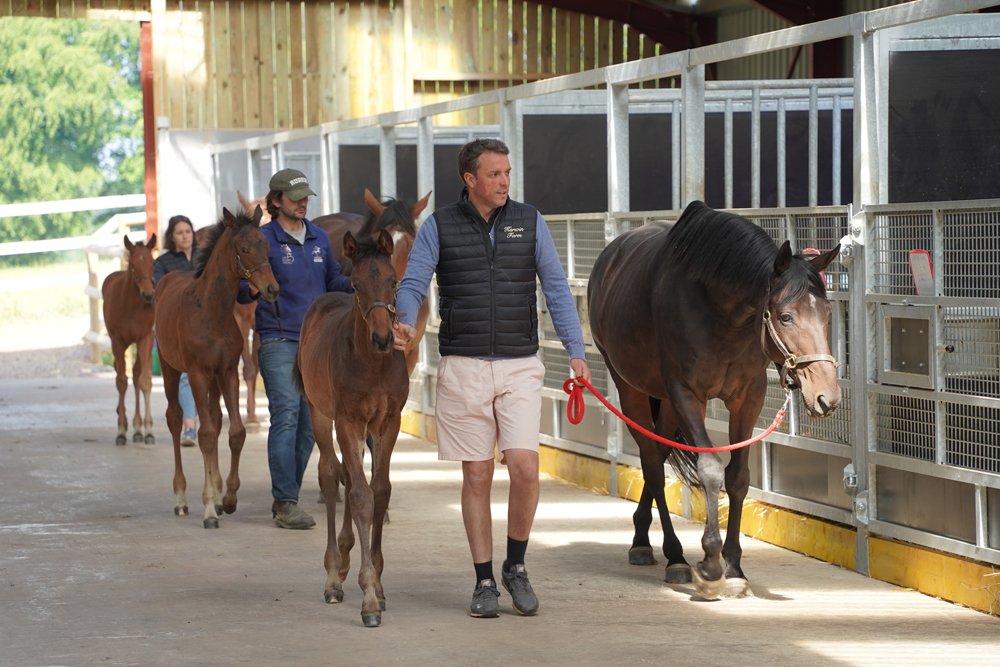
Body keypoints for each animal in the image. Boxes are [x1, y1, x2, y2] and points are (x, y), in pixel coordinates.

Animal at [101, 234, 158, 446]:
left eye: (152, 262)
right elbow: (121, 381)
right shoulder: (117, 341)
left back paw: (139, 428)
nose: (148, 295)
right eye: (133, 264)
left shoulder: (145, 338)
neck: (131, 305)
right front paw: (121, 430)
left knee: (136, 375)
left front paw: (148, 430)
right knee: (123, 375)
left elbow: (145, 381)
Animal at [155, 207, 279, 528]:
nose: (272, 289)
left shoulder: (226, 371)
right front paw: (210, 507)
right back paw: (182, 498)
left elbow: (234, 432)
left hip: (212, 380)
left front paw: (229, 498)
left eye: (266, 244)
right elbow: (206, 435)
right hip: (171, 368)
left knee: (214, 416)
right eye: (244, 249)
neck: (211, 310)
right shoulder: (198, 373)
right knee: (176, 419)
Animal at [294, 228, 409, 627]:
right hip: (319, 412)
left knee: (349, 470)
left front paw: (379, 584)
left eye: (393, 281)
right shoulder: (347, 420)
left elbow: (380, 490)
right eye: (357, 285)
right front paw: (369, 596)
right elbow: (360, 495)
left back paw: (344, 558)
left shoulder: (387, 423)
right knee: (332, 475)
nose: (383, 338)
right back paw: (333, 574)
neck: (373, 363)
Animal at [587, 200, 841, 600]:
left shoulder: (747, 397)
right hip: (632, 389)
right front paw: (710, 564)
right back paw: (672, 555)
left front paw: (734, 566)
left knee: (659, 453)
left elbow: (737, 477)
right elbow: (709, 470)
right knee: (652, 463)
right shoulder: (687, 394)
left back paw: (643, 534)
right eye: (786, 316)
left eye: (828, 314)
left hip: (667, 403)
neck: (720, 313)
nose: (826, 396)